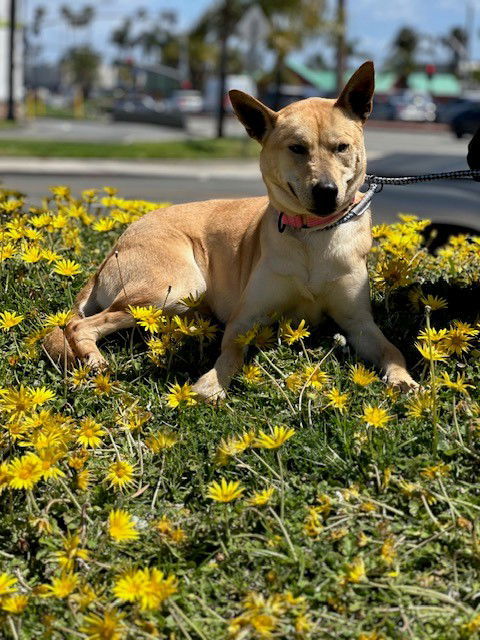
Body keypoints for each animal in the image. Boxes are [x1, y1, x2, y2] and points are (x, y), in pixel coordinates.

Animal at [46, 61, 420, 400]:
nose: (326, 191)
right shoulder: (245, 318)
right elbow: (231, 353)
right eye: (297, 148)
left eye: (341, 147)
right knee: (78, 325)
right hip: (176, 285)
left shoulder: (360, 324)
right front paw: (213, 383)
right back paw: (95, 364)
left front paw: (406, 381)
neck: (312, 235)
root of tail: (117, 244)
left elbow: (392, 350)